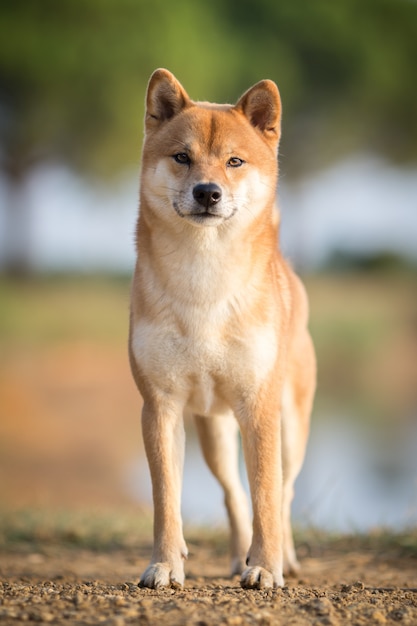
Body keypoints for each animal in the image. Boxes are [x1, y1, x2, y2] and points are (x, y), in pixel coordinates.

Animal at [128, 70, 314, 588]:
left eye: (234, 161)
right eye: (182, 157)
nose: (207, 192)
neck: (204, 283)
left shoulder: (260, 407)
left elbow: (267, 497)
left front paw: (266, 569)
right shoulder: (160, 407)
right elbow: (166, 501)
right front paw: (165, 565)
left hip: (292, 427)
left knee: (284, 494)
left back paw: (282, 558)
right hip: (213, 430)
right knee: (233, 494)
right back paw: (237, 558)